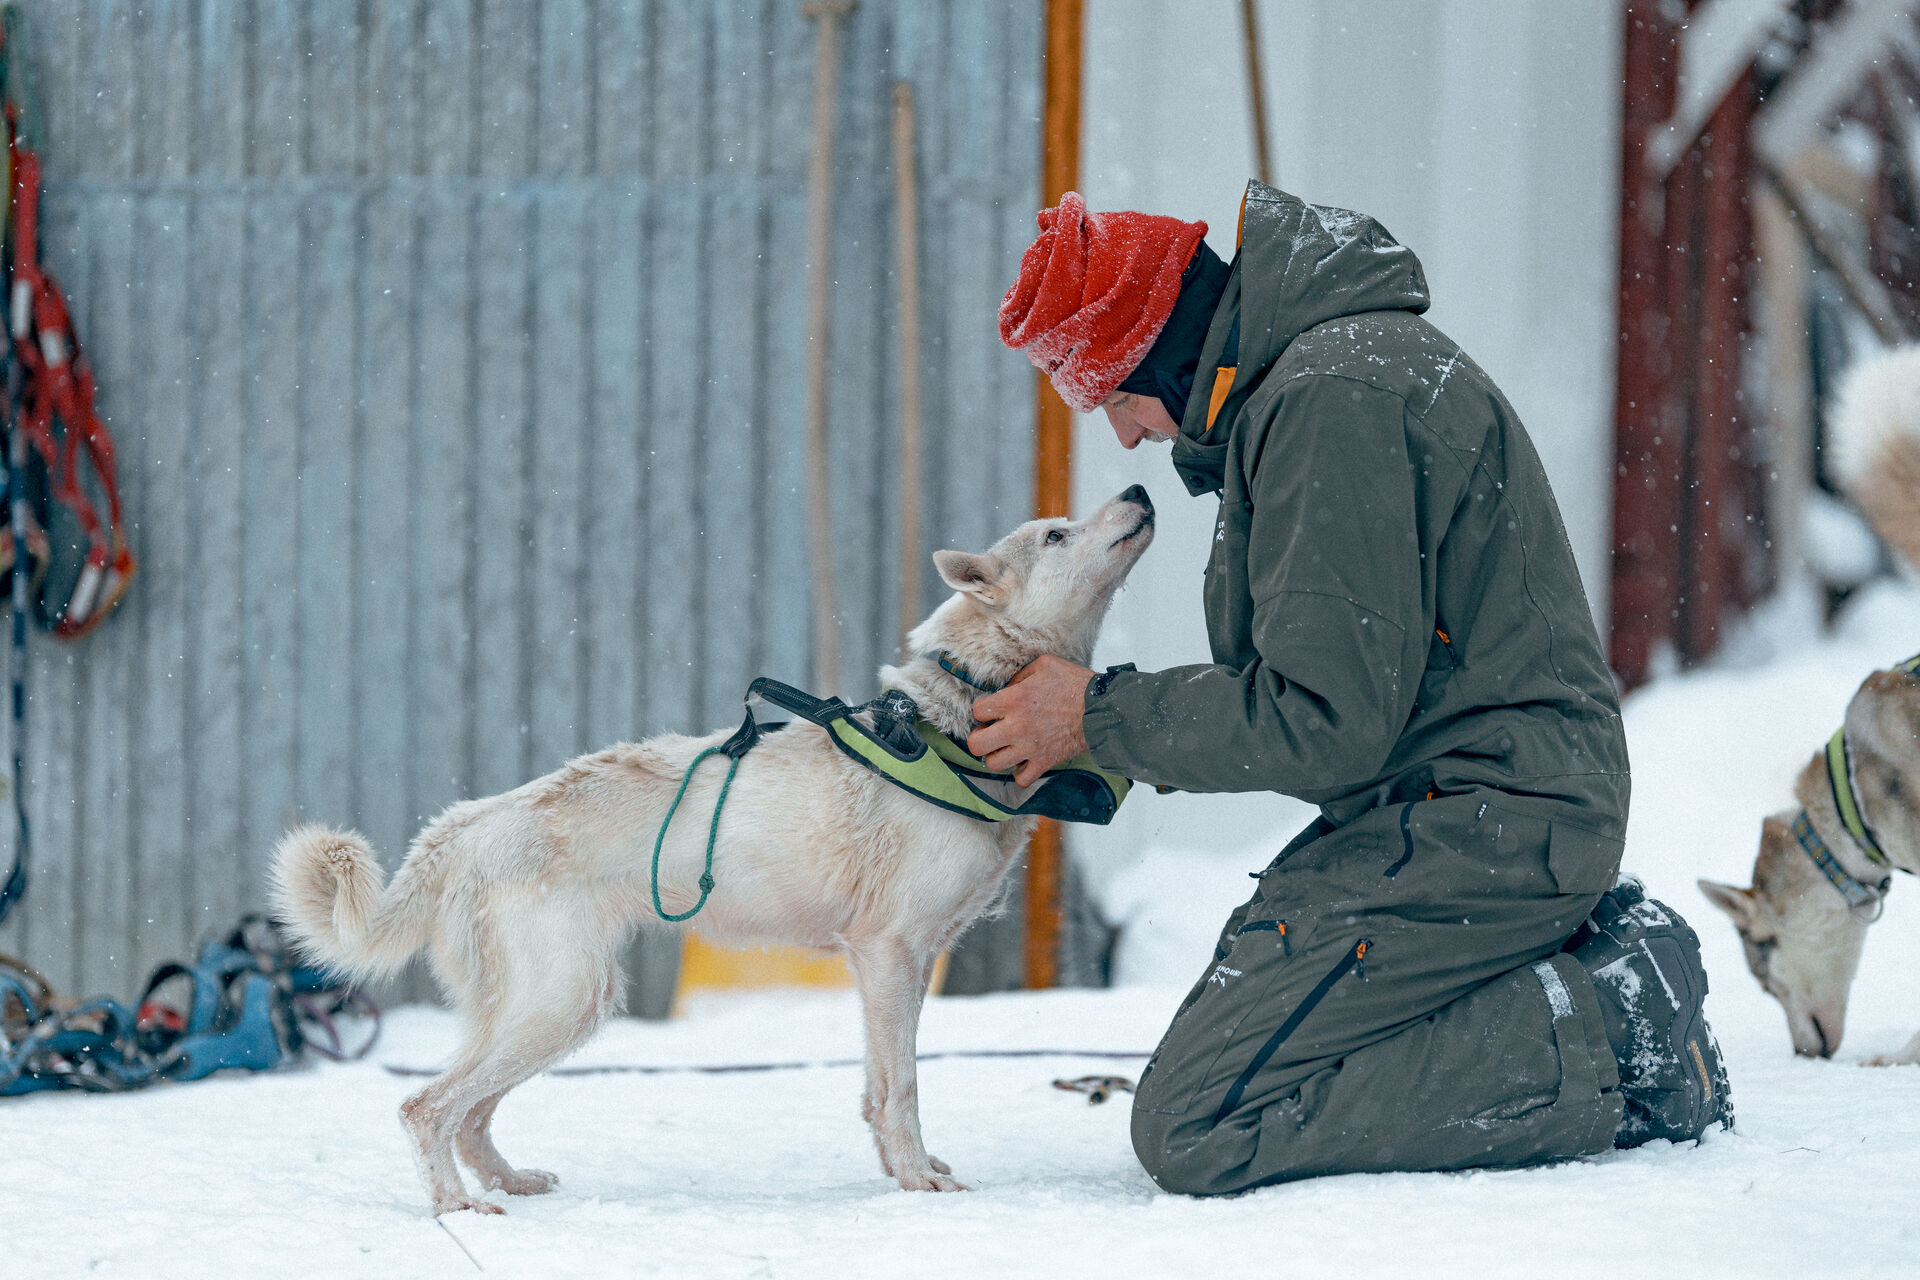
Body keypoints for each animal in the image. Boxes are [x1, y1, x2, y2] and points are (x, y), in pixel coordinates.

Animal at [270, 485, 1152, 1220]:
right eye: (1056, 532)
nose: (1141, 488)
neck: (948, 726)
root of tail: (463, 825)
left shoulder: (892, 965)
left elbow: (877, 1090)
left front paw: (904, 1173)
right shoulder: (890, 953)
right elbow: (901, 1088)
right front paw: (916, 1183)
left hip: (549, 1010)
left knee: (471, 1113)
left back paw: (507, 1183)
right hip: (566, 1002)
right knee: (427, 1108)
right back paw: (457, 1206)